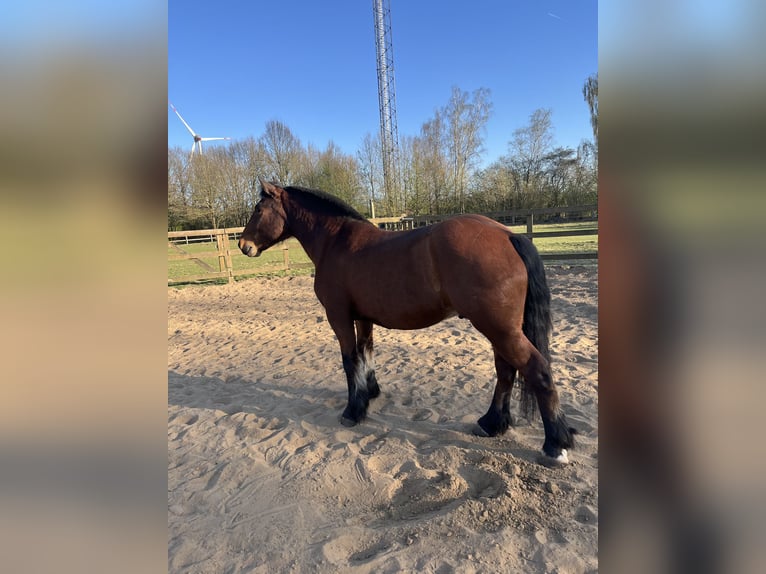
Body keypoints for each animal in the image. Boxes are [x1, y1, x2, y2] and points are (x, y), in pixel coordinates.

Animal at [238, 180, 575, 463]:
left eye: (258, 209)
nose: (244, 245)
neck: (335, 241)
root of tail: (507, 234)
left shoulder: (339, 316)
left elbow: (350, 360)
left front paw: (353, 411)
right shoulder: (363, 318)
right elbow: (366, 354)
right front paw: (370, 393)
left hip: (499, 329)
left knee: (537, 370)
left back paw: (554, 445)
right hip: (500, 330)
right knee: (506, 371)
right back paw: (492, 424)